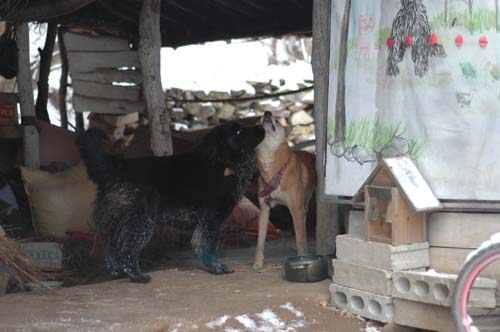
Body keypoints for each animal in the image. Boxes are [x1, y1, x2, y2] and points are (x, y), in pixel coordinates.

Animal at [76, 122, 264, 282]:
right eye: (238, 131)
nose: (262, 126)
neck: (222, 162)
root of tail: (118, 166)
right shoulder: (211, 220)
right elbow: (207, 247)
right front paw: (216, 268)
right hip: (141, 222)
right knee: (127, 251)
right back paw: (137, 277)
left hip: (121, 221)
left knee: (111, 248)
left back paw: (119, 273)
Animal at [254, 111, 316, 270]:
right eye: (258, 122)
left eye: (276, 120)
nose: (267, 112)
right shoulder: (264, 209)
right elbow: (260, 241)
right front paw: (258, 263)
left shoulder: (296, 209)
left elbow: (299, 240)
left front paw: (302, 260)